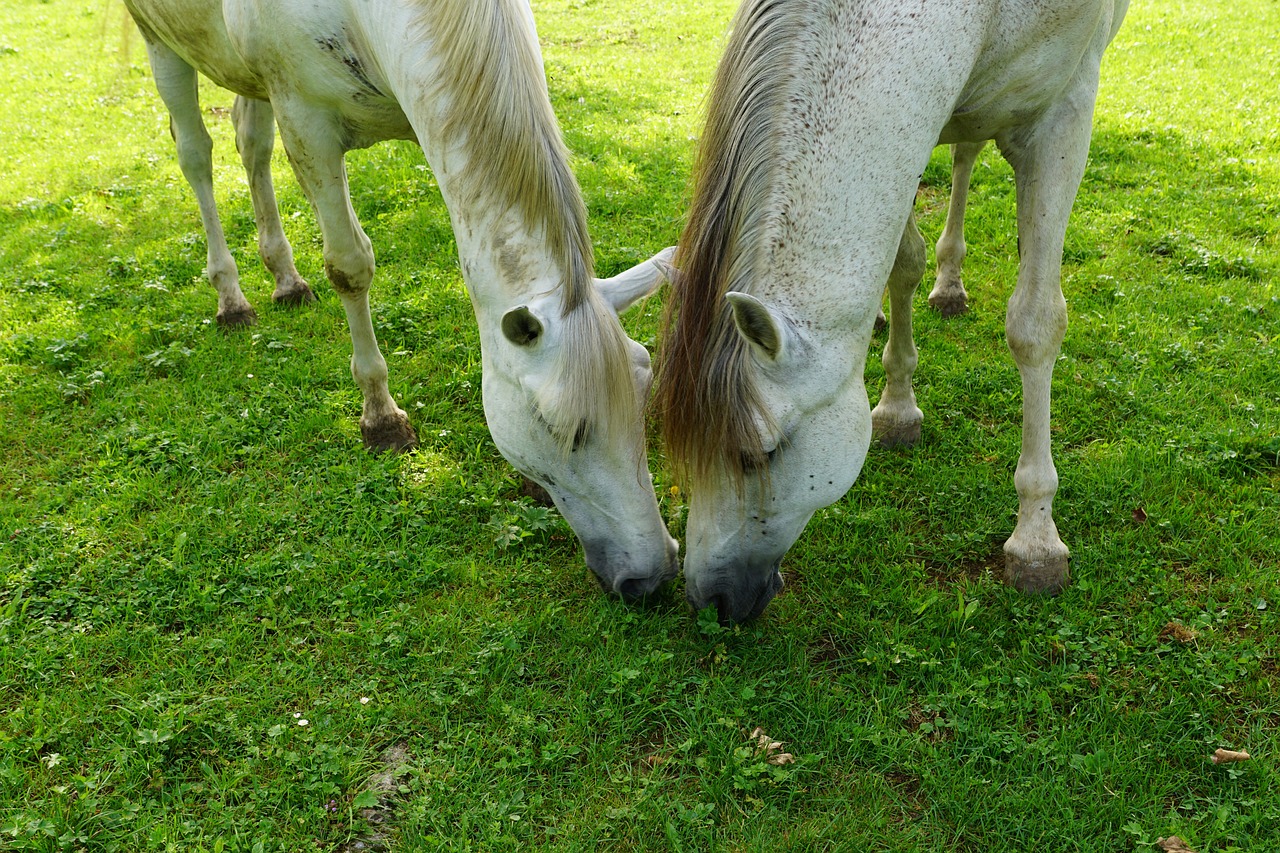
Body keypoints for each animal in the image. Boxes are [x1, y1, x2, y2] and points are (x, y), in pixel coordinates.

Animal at [126, 0, 686, 596]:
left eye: (645, 387)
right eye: (566, 430)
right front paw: (381, 417)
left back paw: (286, 278)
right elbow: (350, 268)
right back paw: (230, 297)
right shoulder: (308, 127)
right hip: (161, 43)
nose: (653, 574)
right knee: (196, 154)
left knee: (250, 142)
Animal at [660, 1, 1131, 625]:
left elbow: (1035, 326)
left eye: (757, 455)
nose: (708, 598)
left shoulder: (1065, 113)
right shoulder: (916, 123)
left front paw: (1036, 540)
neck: (981, 17)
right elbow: (902, 264)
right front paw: (898, 409)